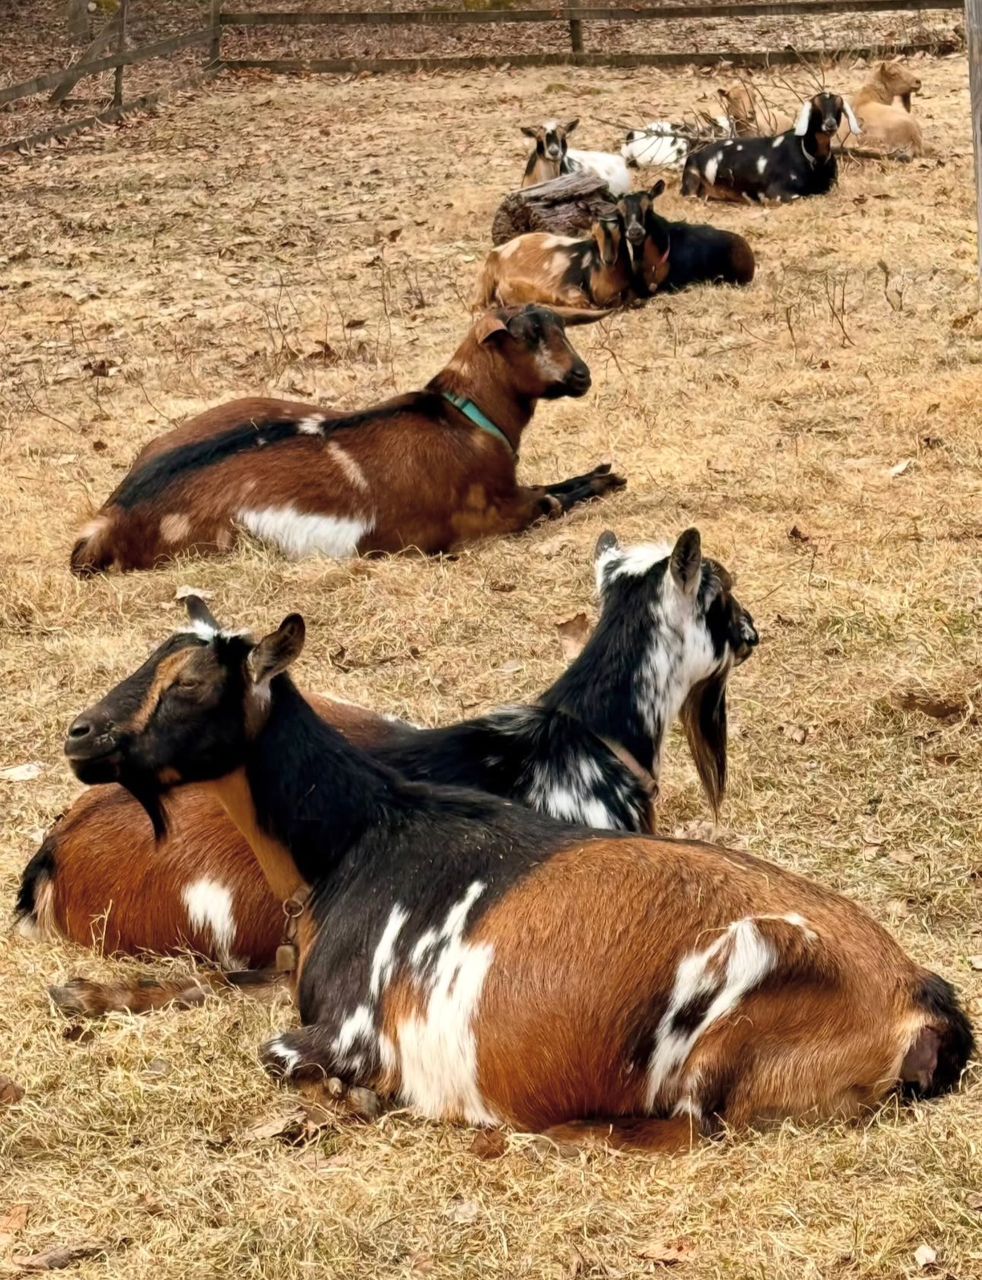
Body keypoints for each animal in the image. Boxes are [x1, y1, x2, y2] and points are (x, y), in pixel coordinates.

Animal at [59, 590, 972, 1151]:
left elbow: (281, 1052)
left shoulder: (347, 1030)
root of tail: (921, 999)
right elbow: (222, 980)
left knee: (688, 1131)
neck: (359, 841)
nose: (79, 735)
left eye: (188, 686)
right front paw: (85, 995)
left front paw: (364, 1098)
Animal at [69, 306, 625, 574]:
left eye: (562, 326)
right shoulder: (487, 518)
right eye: (528, 336)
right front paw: (609, 480)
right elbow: (551, 499)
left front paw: (606, 471)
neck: (463, 420)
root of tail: (110, 519)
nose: (581, 376)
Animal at [472, 219, 634, 312]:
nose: (608, 259)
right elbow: (582, 300)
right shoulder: (565, 283)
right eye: (594, 236)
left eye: (621, 235)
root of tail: (498, 253)